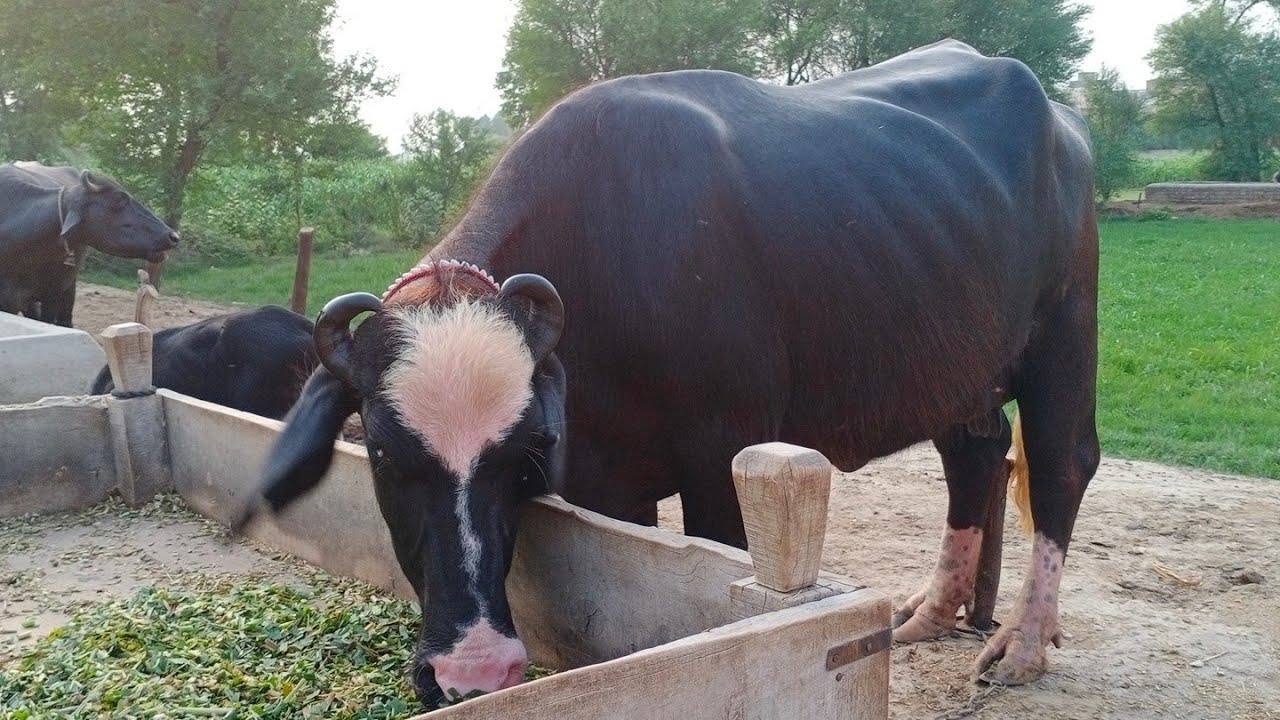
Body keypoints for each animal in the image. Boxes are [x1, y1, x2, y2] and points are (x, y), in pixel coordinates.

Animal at [235, 40, 1100, 705]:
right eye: (382, 452)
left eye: (522, 451)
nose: (473, 673)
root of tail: (1060, 118)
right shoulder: (606, 482)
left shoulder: (723, 453)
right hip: (959, 364)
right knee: (976, 457)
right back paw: (933, 612)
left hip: (1064, 330)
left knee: (1063, 464)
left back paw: (1023, 643)